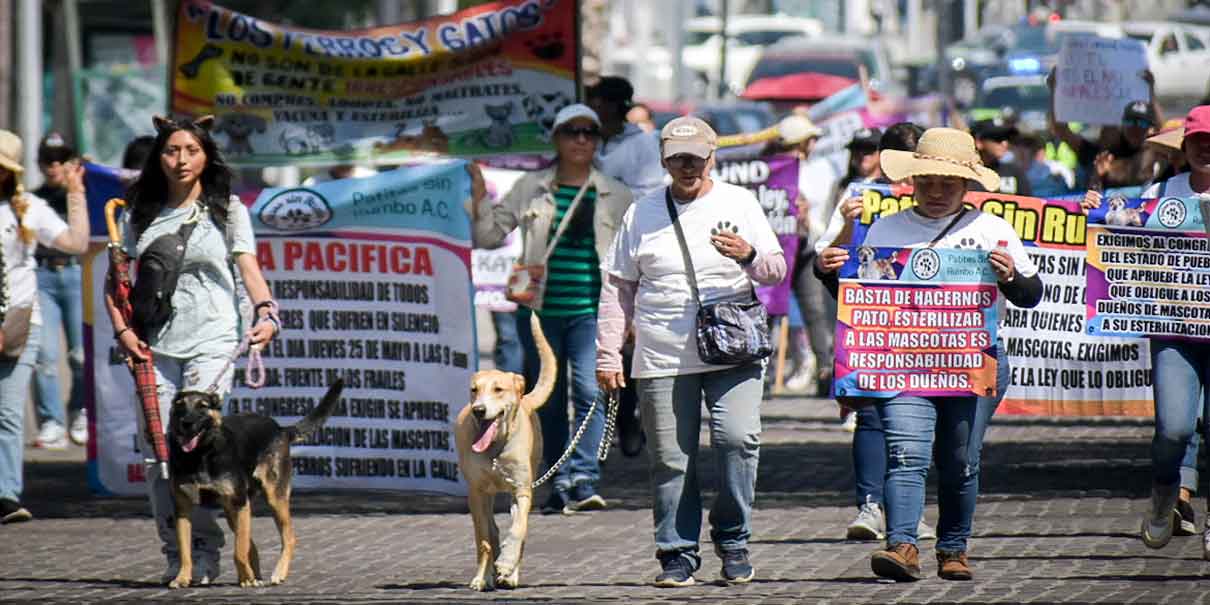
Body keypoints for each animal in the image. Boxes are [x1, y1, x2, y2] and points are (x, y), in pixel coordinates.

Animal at [165, 379, 346, 588]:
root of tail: (280, 429)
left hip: (272, 499)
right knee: (251, 545)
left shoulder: (240, 503)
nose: (187, 423)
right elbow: (185, 552)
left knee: (287, 538)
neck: (200, 454)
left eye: (202, 407)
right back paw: (254, 576)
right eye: (180, 406)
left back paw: (275, 573)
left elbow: (239, 550)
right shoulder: (182, 509)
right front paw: (182, 578)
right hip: (233, 512)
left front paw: (246, 578)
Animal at [454, 319, 554, 592]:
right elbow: (484, 540)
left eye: (498, 389)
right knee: (492, 530)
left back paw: (509, 572)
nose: (478, 410)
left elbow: (519, 530)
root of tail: (525, 398)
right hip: (486, 497)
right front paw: (482, 577)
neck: (495, 448)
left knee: (515, 530)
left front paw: (508, 565)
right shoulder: (476, 493)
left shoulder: (522, 490)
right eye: (474, 390)